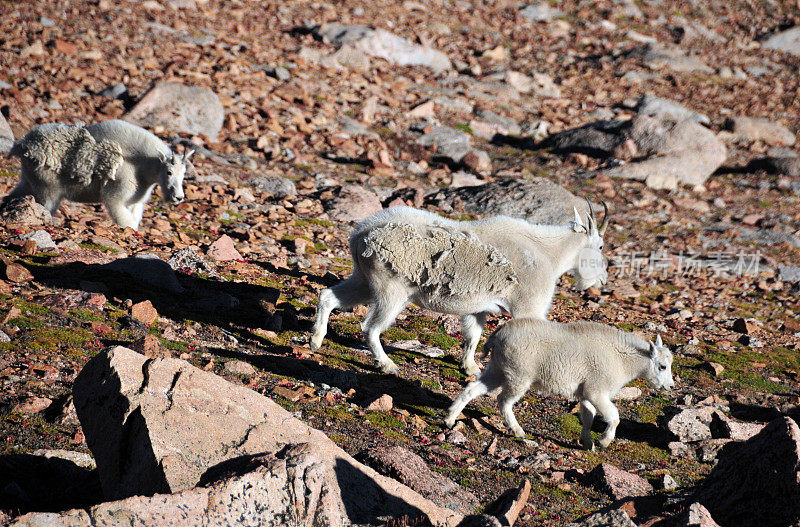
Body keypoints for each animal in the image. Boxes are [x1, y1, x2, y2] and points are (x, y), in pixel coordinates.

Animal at [5, 120, 194, 230]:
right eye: (169, 172)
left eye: (184, 174)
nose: (178, 197)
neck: (141, 165)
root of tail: (24, 146)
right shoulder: (116, 195)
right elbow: (127, 221)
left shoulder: (136, 201)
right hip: (47, 188)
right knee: (46, 205)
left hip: (29, 180)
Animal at [444, 320, 676, 452]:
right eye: (662, 366)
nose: (670, 386)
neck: (623, 360)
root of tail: (497, 335)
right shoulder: (597, 391)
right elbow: (614, 416)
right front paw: (603, 442)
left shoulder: (586, 394)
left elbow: (588, 417)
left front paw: (587, 443)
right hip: (519, 374)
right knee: (503, 401)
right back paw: (518, 431)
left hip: (498, 369)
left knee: (473, 389)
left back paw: (449, 418)